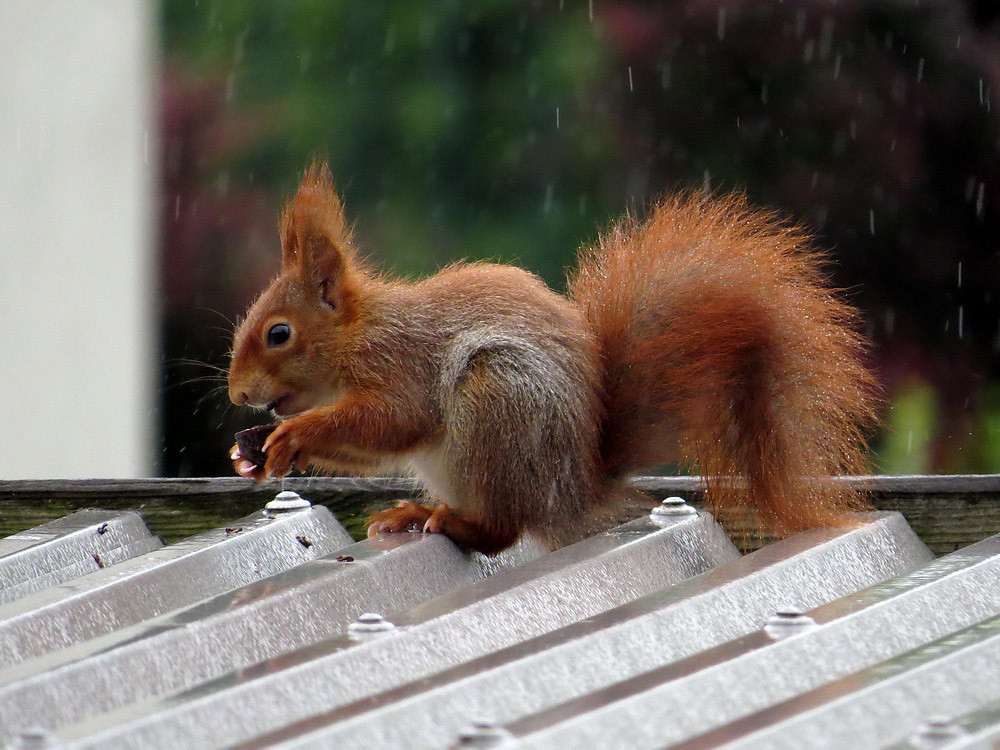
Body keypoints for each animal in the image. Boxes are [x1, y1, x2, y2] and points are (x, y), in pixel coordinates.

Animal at [227, 162, 876, 556]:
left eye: (279, 333)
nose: (237, 394)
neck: (357, 336)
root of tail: (575, 490)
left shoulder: (401, 362)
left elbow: (394, 419)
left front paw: (294, 434)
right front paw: (254, 451)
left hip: (496, 400)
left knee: (501, 530)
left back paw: (452, 521)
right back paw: (415, 513)